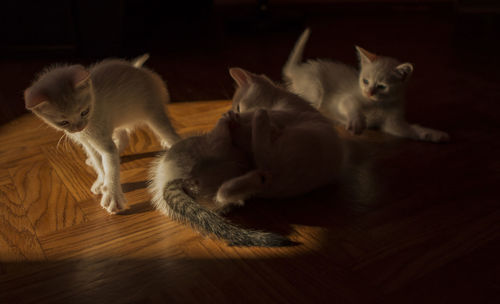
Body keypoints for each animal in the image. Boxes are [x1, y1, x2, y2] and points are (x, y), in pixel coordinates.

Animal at [24, 53, 182, 213]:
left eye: (84, 112)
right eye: (63, 122)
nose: (79, 127)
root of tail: (138, 69)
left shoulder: (100, 137)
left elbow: (110, 165)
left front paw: (112, 195)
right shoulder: (86, 142)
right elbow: (99, 162)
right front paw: (101, 180)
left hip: (153, 112)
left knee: (170, 134)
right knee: (123, 137)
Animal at [148, 67, 344, 247]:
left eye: (238, 105)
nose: (235, 112)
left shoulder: (290, 111)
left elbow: (263, 116)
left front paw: (242, 118)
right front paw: (240, 121)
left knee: (246, 167)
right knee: (251, 166)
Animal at [284, 28, 452, 142]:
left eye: (382, 86)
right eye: (365, 81)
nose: (369, 92)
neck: (380, 104)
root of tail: (297, 70)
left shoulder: (394, 124)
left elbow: (411, 130)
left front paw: (434, 134)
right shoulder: (345, 98)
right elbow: (350, 103)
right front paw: (357, 121)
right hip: (315, 88)